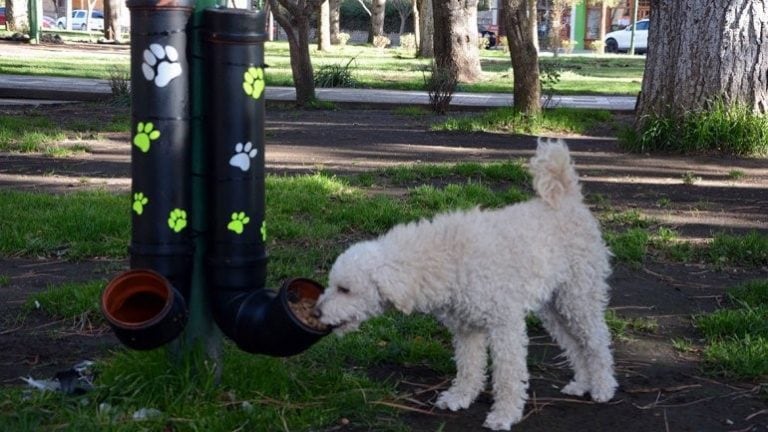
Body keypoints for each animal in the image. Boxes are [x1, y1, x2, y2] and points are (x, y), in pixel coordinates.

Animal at [314, 138, 616, 428]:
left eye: (345, 289)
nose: (316, 312)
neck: (445, 257)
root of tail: (566, 197)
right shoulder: (466, 328)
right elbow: (469, 367)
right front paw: (460, 397)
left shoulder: (505, 326)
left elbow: (508, 375)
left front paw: (504, 415)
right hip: (555, 307)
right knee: (575, 345)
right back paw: (582, 384)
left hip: (578, 297)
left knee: (597, 342)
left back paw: (603, 387)